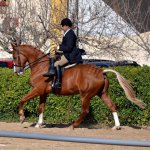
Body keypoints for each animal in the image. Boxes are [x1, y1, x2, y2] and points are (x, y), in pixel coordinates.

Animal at [11, 43, 146, 129]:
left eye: (15, 56)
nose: (16, 72)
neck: (40, 66)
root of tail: (101, 71)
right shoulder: (43, 93)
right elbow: (41, 108)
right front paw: (39, 124)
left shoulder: (37, 90)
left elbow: (22, 99)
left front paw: (22, 117)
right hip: (102, 94)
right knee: (112, 106)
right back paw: (116, 126)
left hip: (85, 95)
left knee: (85, 111)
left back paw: (73, 125)